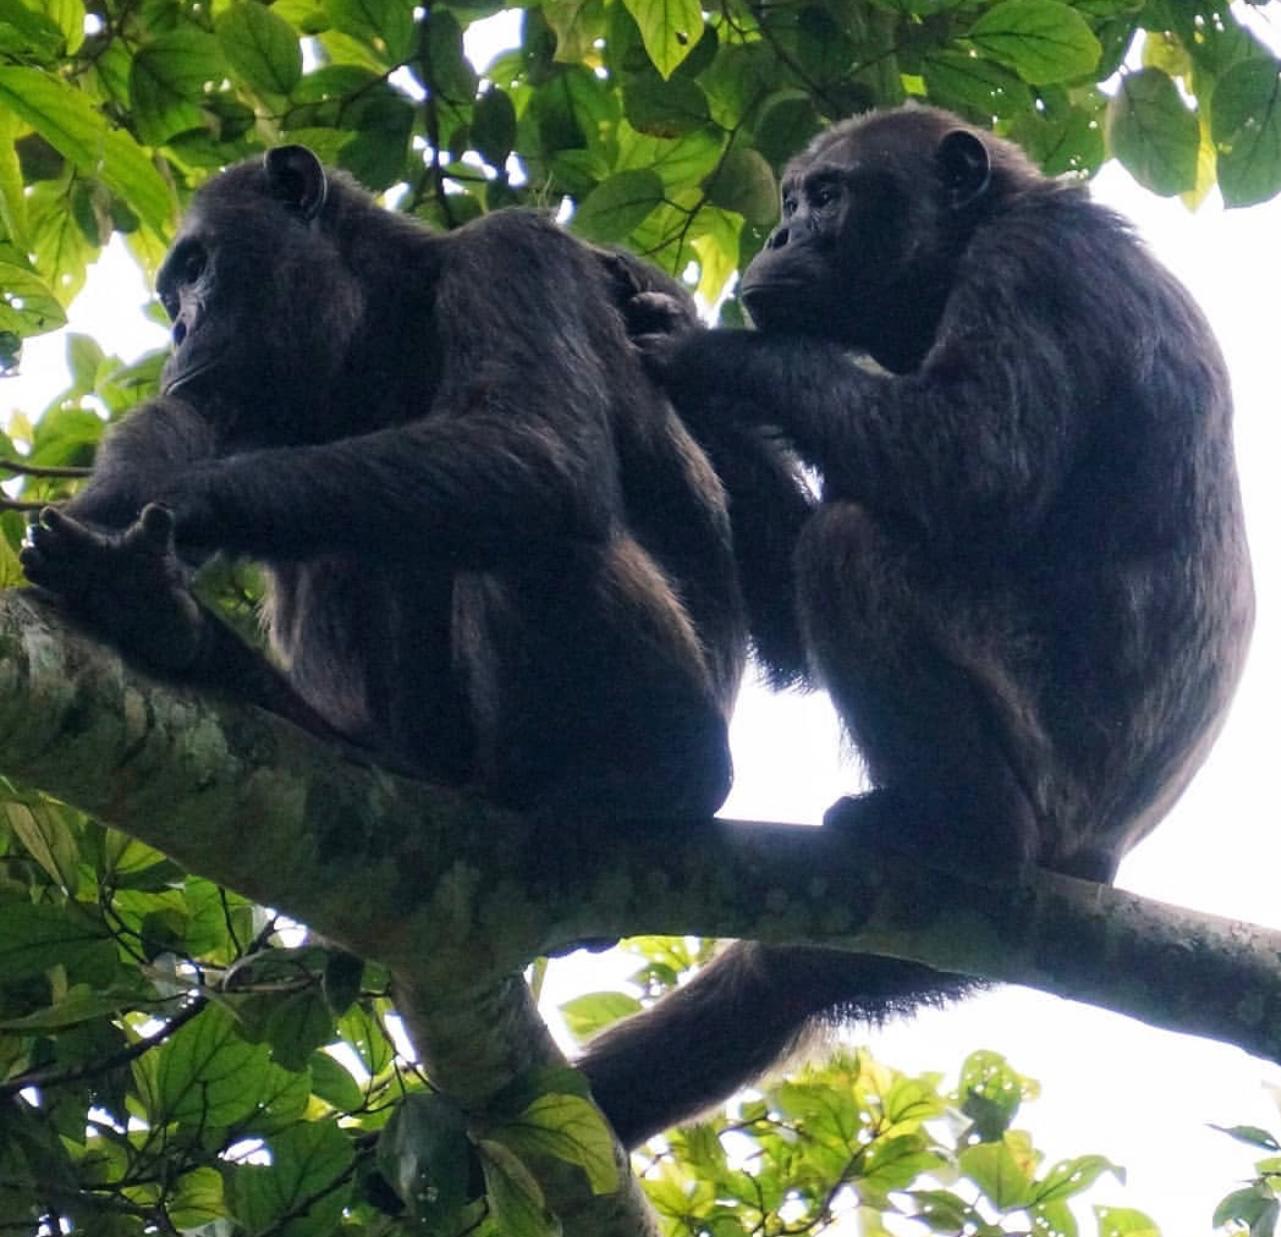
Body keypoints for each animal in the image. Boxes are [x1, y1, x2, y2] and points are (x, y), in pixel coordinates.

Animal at [576, 105, 1255, 1147]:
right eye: (791, 196)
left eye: (827, 195)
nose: (781, 232)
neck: (968, 240)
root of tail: (1098, 865)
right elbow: (792, 617)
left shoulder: (1037, 274)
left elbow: (969, 463)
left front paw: (697, 344)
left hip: (1046, 777)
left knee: (853, 548)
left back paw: (955, 826)